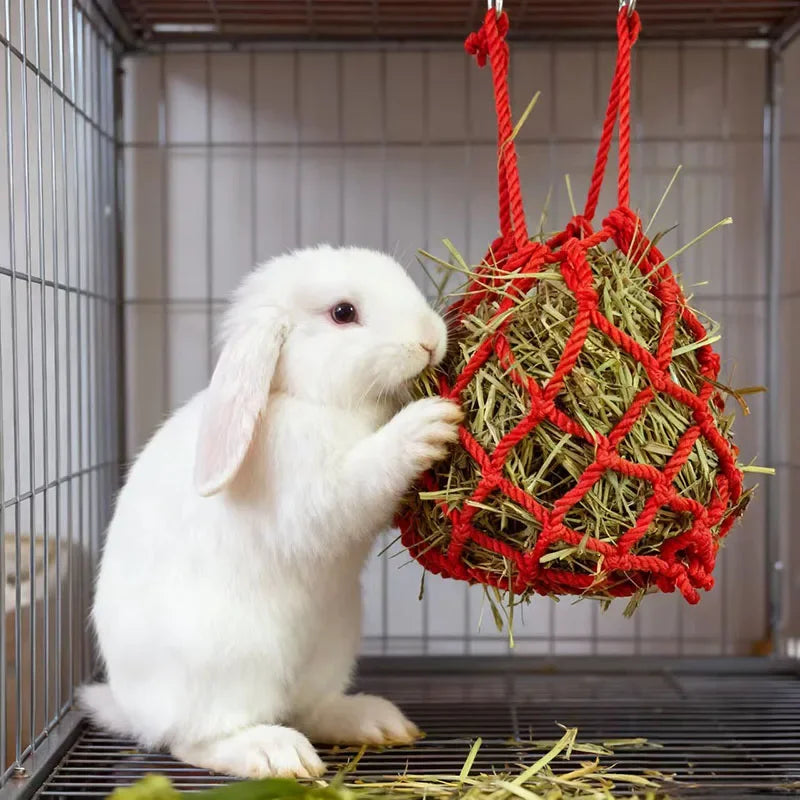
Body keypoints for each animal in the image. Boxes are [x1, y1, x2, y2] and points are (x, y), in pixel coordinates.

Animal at [79, 245, 463, 780]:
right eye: (343, 312)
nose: (429, 340)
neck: (309, 400)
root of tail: (135, 710)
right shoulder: (314, 489)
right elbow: (362, 479)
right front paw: (428, 423)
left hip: (332, 644)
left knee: (309, 709)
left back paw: (374, 721)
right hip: (230, 663)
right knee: (195, 739)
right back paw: (274, 753)